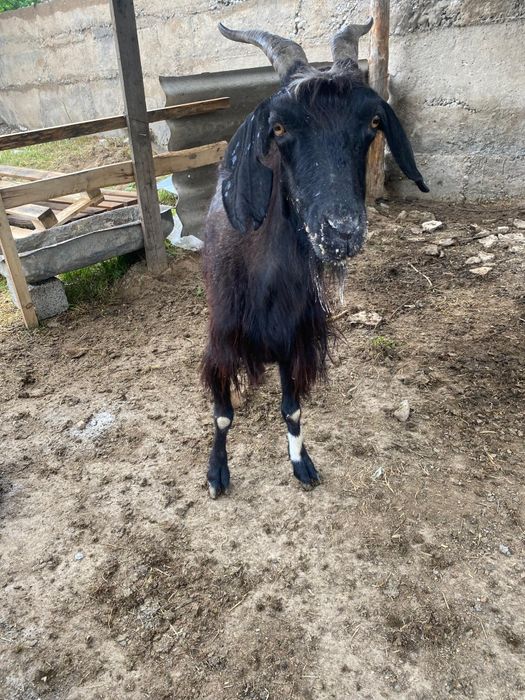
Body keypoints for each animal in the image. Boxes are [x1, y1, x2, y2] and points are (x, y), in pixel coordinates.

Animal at [201, 20, 428, 498]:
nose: (341, 230)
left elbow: (292, 409)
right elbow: (222, 414)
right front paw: (216, 473)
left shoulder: (296, 338)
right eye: (279, 127)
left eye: (374, 122)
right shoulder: (222, 339)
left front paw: (301, 463)